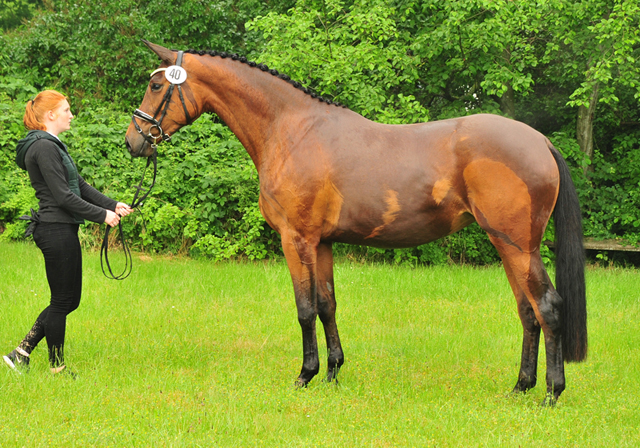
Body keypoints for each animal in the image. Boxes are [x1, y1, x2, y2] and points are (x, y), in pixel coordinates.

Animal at [124, 41, 584, 406]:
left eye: (157, 86)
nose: (133, 141)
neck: (291, 131)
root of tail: (540, 141)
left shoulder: (296, 240)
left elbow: (305, 308)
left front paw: (305, 375)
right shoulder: (323, 242)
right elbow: (327, 304)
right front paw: (332, 373)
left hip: (517, 245)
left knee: (547, 307)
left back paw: (551, 393)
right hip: (508, 247)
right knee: (527, 312)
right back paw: (521, 387)